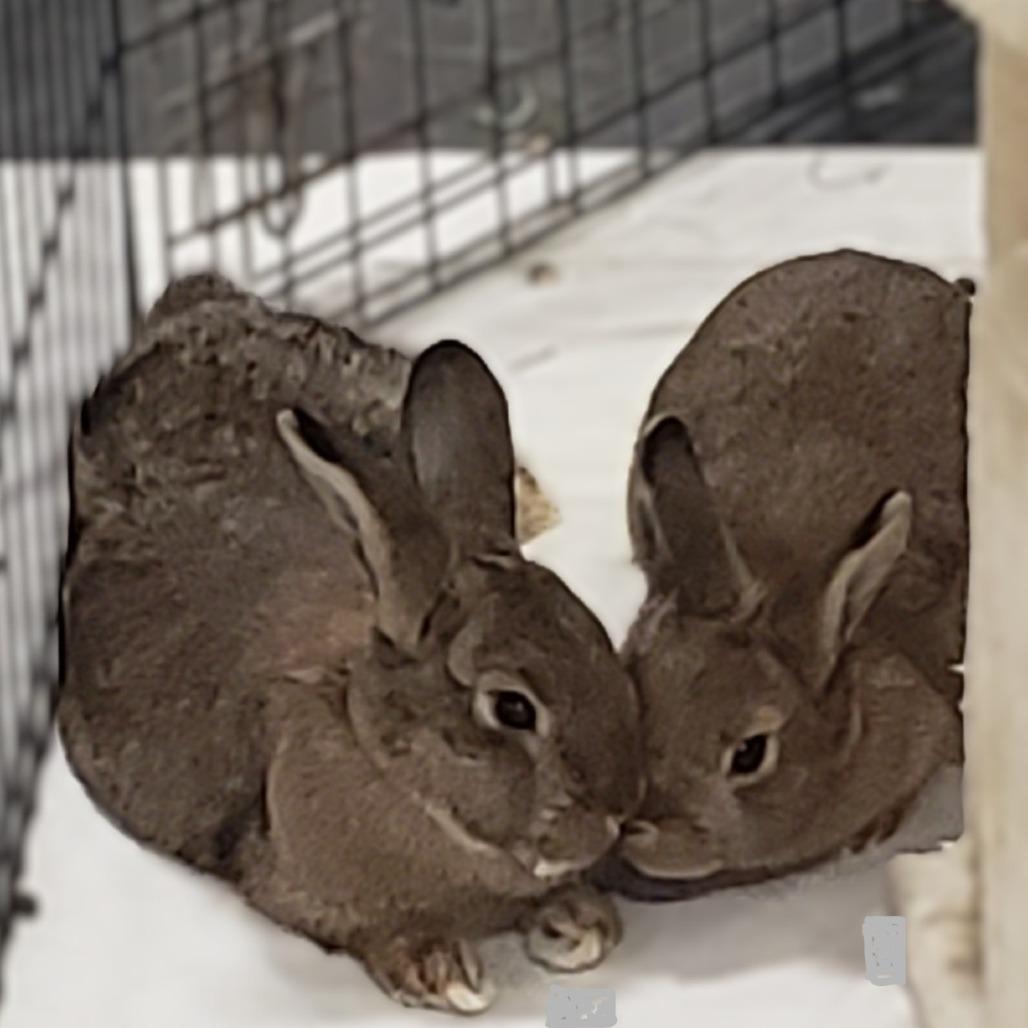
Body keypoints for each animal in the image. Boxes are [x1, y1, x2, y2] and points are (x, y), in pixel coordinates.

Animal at [57, 272, 644, 1013]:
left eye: (595, 633)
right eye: (511, 708)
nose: (620, 811)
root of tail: (191, 306)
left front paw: (578, 921)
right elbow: (377, 937)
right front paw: (442, 971)